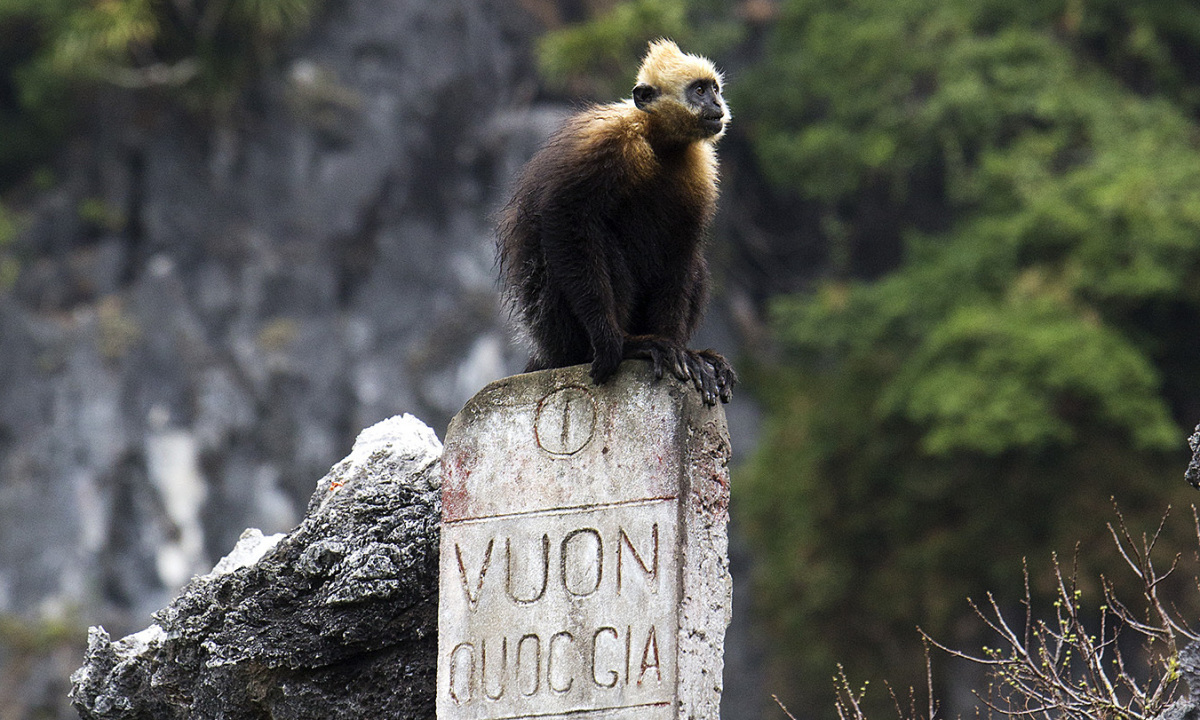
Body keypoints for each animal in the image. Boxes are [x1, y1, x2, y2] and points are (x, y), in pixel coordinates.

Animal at [494, 37, 729, 405]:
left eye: (714, 89)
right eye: (700, 90)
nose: (718, 103)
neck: (659, 142)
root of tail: (550, 351)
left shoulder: (701, 171)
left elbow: (681, 253)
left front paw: (679, 349)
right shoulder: (608, 141)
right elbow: (565, 219)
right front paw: (609, 343)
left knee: (695, 265)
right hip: (560, 324)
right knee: (597, 243)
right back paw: (631, 344)